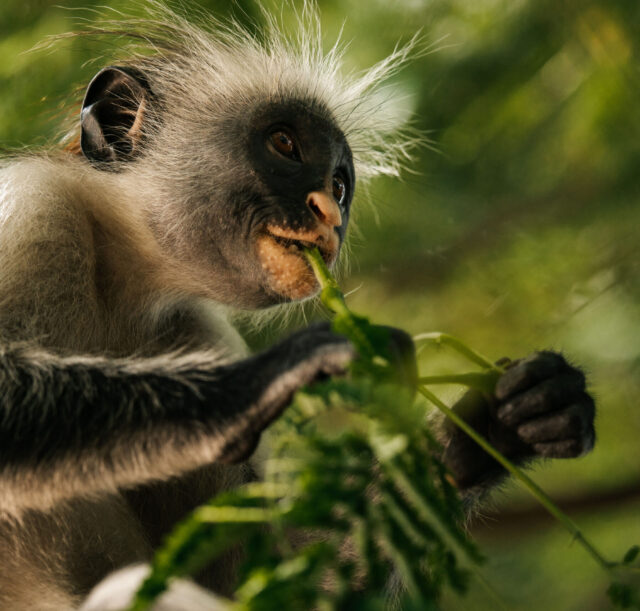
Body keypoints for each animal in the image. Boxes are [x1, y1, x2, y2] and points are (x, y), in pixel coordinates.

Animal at [0, 4, 595, 610]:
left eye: (340, 184)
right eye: (285, 144)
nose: (330, 214)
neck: (119, 277)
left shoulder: (191, 326)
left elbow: (265, 575)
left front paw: (499, 424)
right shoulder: (35, 207)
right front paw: (280, 372)